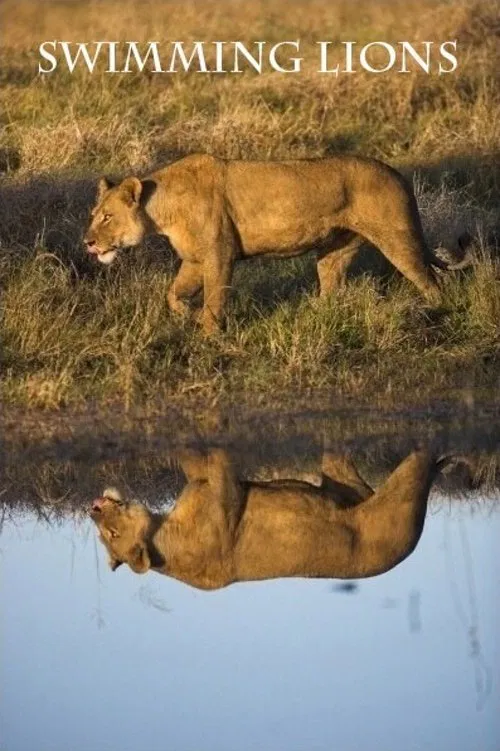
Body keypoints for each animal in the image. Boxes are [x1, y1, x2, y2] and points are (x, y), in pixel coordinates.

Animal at [84, 154, 454, 334]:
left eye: (107, 217)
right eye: (94, 215)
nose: (87, 242)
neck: (161, 210)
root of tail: (397, 173)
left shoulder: (220, 256)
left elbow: (214, 298)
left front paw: (208, 335)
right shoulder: (195, 259)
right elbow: (173, 293)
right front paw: (188, 316)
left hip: (398, 240)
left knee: (431, 281)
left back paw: (437, 313)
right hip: (335, 250)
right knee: (331, 289)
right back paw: (317, 316)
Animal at [90, 447, 443, 590]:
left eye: (109, 534)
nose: (92, 510)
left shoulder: (209, 484)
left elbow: (193, 458)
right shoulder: (227, 494)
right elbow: (218, 460)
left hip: (345, 485)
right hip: (400, 498)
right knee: (421, 460)